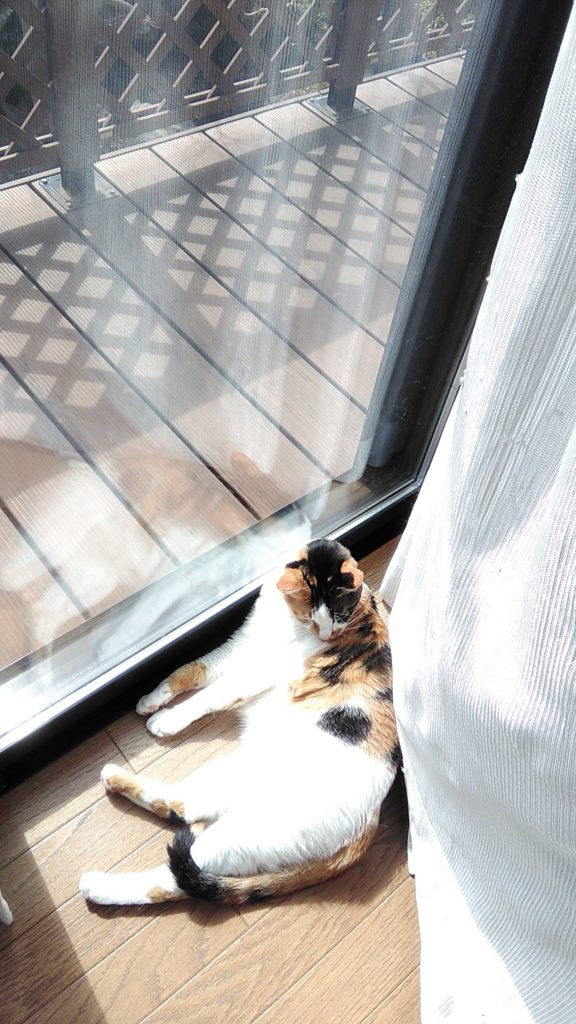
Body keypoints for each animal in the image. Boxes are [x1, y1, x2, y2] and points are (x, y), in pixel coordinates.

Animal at [79, 538, 398, 907]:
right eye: (311, 616)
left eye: (340, 617)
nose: (326, 635)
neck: (283, 619)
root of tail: (368, 826)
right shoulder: (238, 648)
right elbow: (189, 669)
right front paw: (152, 699)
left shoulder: (256, 670)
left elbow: (212, 695)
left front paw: (166, 719)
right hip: (227, 777)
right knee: (182, 807)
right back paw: (113, 777)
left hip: (245, 832)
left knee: (171, 879)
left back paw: (97, 887)